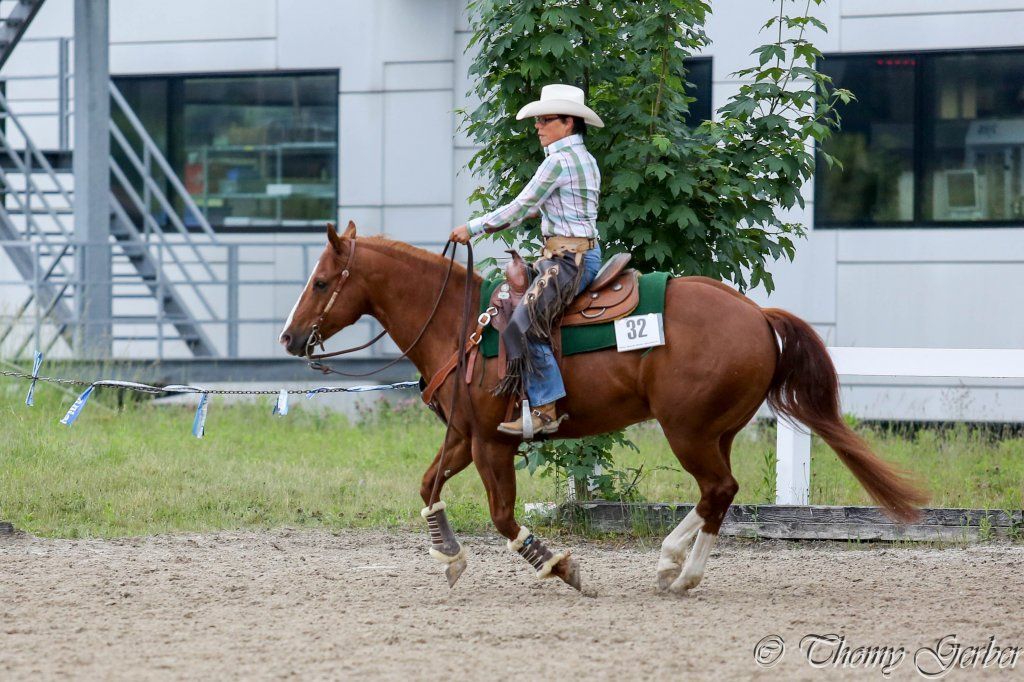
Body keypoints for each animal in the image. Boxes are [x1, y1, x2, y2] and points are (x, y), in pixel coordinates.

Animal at [279, 221, 927, 593]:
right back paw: (673, 565)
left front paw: (558, 566)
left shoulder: (493, 442)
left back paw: (679, 572)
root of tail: (756, 315)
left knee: (717, 489)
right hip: (714, 430)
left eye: (320, 282)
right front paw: (450, 555)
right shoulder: (464, 436)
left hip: (688, 429)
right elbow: (428, 486)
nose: (288, 338)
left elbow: (503, 517)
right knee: (720, 492)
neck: (459, 324)